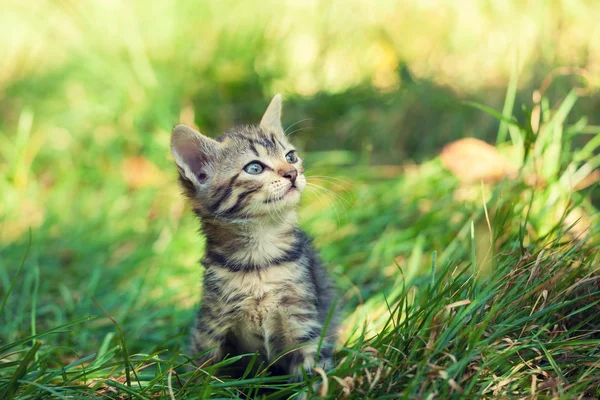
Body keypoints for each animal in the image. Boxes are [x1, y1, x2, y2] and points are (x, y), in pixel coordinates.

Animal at [171, 94, 340, 382]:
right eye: (254, 168)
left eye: (291, 156)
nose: (292, 173)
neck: (260, 253)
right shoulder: (211, 324)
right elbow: (203, 368)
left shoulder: (302, 318)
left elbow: (312, 368)